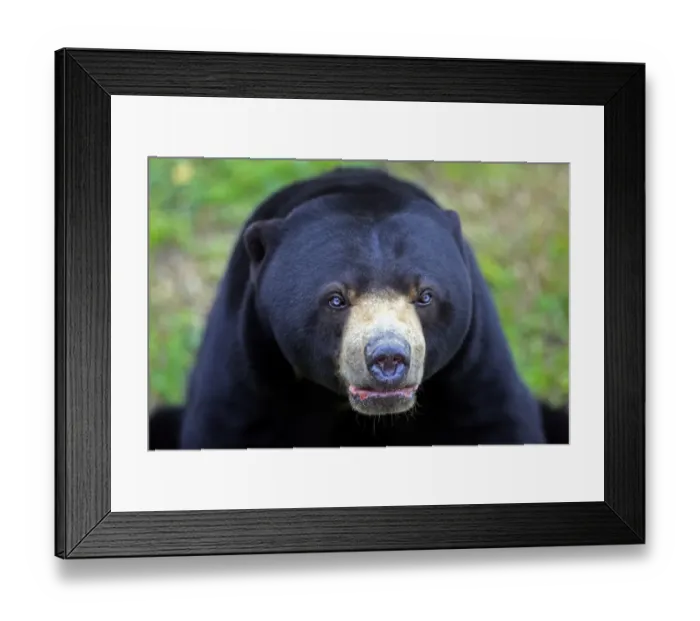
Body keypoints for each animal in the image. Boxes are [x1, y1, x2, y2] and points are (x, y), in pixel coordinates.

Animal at [148, 167, 569, 450]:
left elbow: (496, 420)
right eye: (336, 299)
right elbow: (228, 426)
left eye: (425, 295)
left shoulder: (474, 361)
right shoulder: (247, 364)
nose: (388, 359)